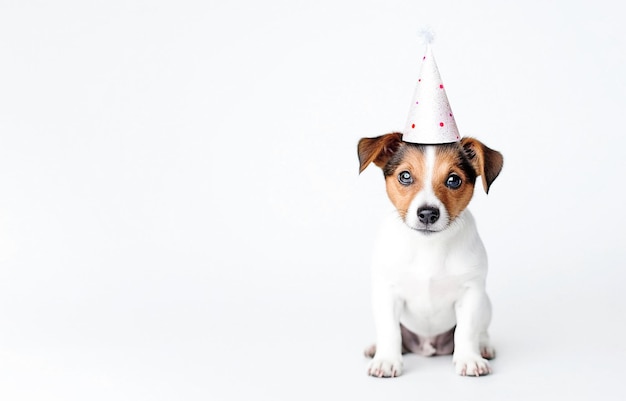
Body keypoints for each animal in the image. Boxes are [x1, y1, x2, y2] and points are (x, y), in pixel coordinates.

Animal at [358, 133, 500, 376]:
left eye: (453, 180)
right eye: (405, 176)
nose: (427, 213)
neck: (428, 246)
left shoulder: (471, 293)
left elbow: (467, 330)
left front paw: (469, 358)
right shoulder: (387, 293)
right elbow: (389, 330)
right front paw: (386, 359)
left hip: (486, 303)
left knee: (481, 330)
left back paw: (483, 347)